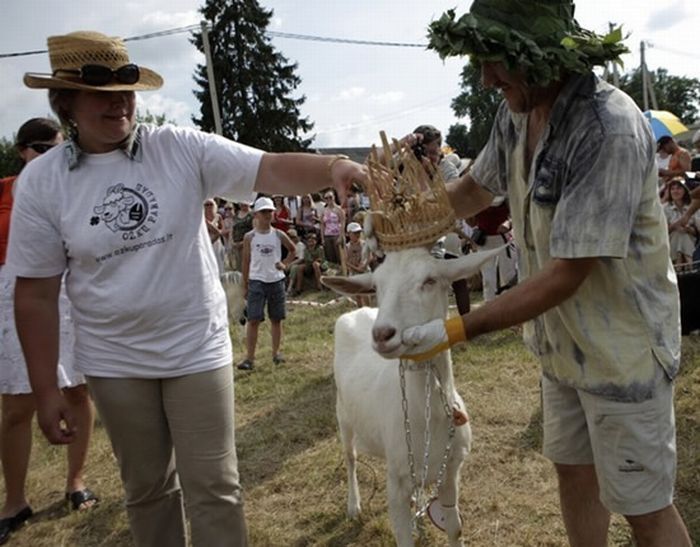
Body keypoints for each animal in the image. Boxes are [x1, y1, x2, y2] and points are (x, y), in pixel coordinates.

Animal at [324, 246, 504, 544]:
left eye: (430, 280)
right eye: (376, 285)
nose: (382, 334)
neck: (430, 418)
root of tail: (358, 310)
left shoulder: (451, 472)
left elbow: (455, 528)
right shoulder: (395, 485)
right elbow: (404, 537)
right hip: (342, 416)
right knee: (350, 458)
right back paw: (353, 506)